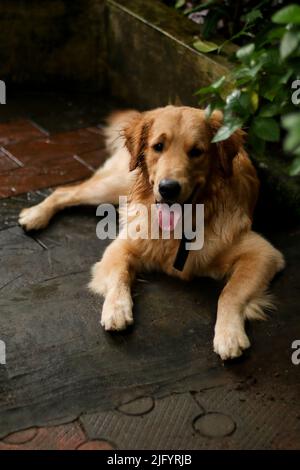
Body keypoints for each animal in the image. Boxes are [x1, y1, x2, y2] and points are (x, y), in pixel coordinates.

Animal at [17, 107, 284, 360]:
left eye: (197, 151)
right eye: (158, 146)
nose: (168, 188)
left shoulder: (263, 253)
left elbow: (230, 293)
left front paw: (229, 335)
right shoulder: (124, 244)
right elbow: (120, 274)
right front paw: (117, 309)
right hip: (113, 185)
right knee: (65, 191)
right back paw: (34, 215)